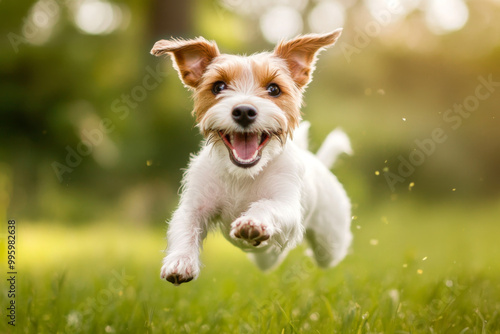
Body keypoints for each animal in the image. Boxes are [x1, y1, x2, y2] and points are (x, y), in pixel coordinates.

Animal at [151, 29, 352, 284]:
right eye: (218, 86)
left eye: (274, 89)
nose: (244, 111)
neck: (242, 174)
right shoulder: (194, 204)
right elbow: (185, 226)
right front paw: (180, 261)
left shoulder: (286, 203)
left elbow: (268, 205)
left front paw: (252, 221)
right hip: (267, 258)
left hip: (330, 241)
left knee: (331, 252)